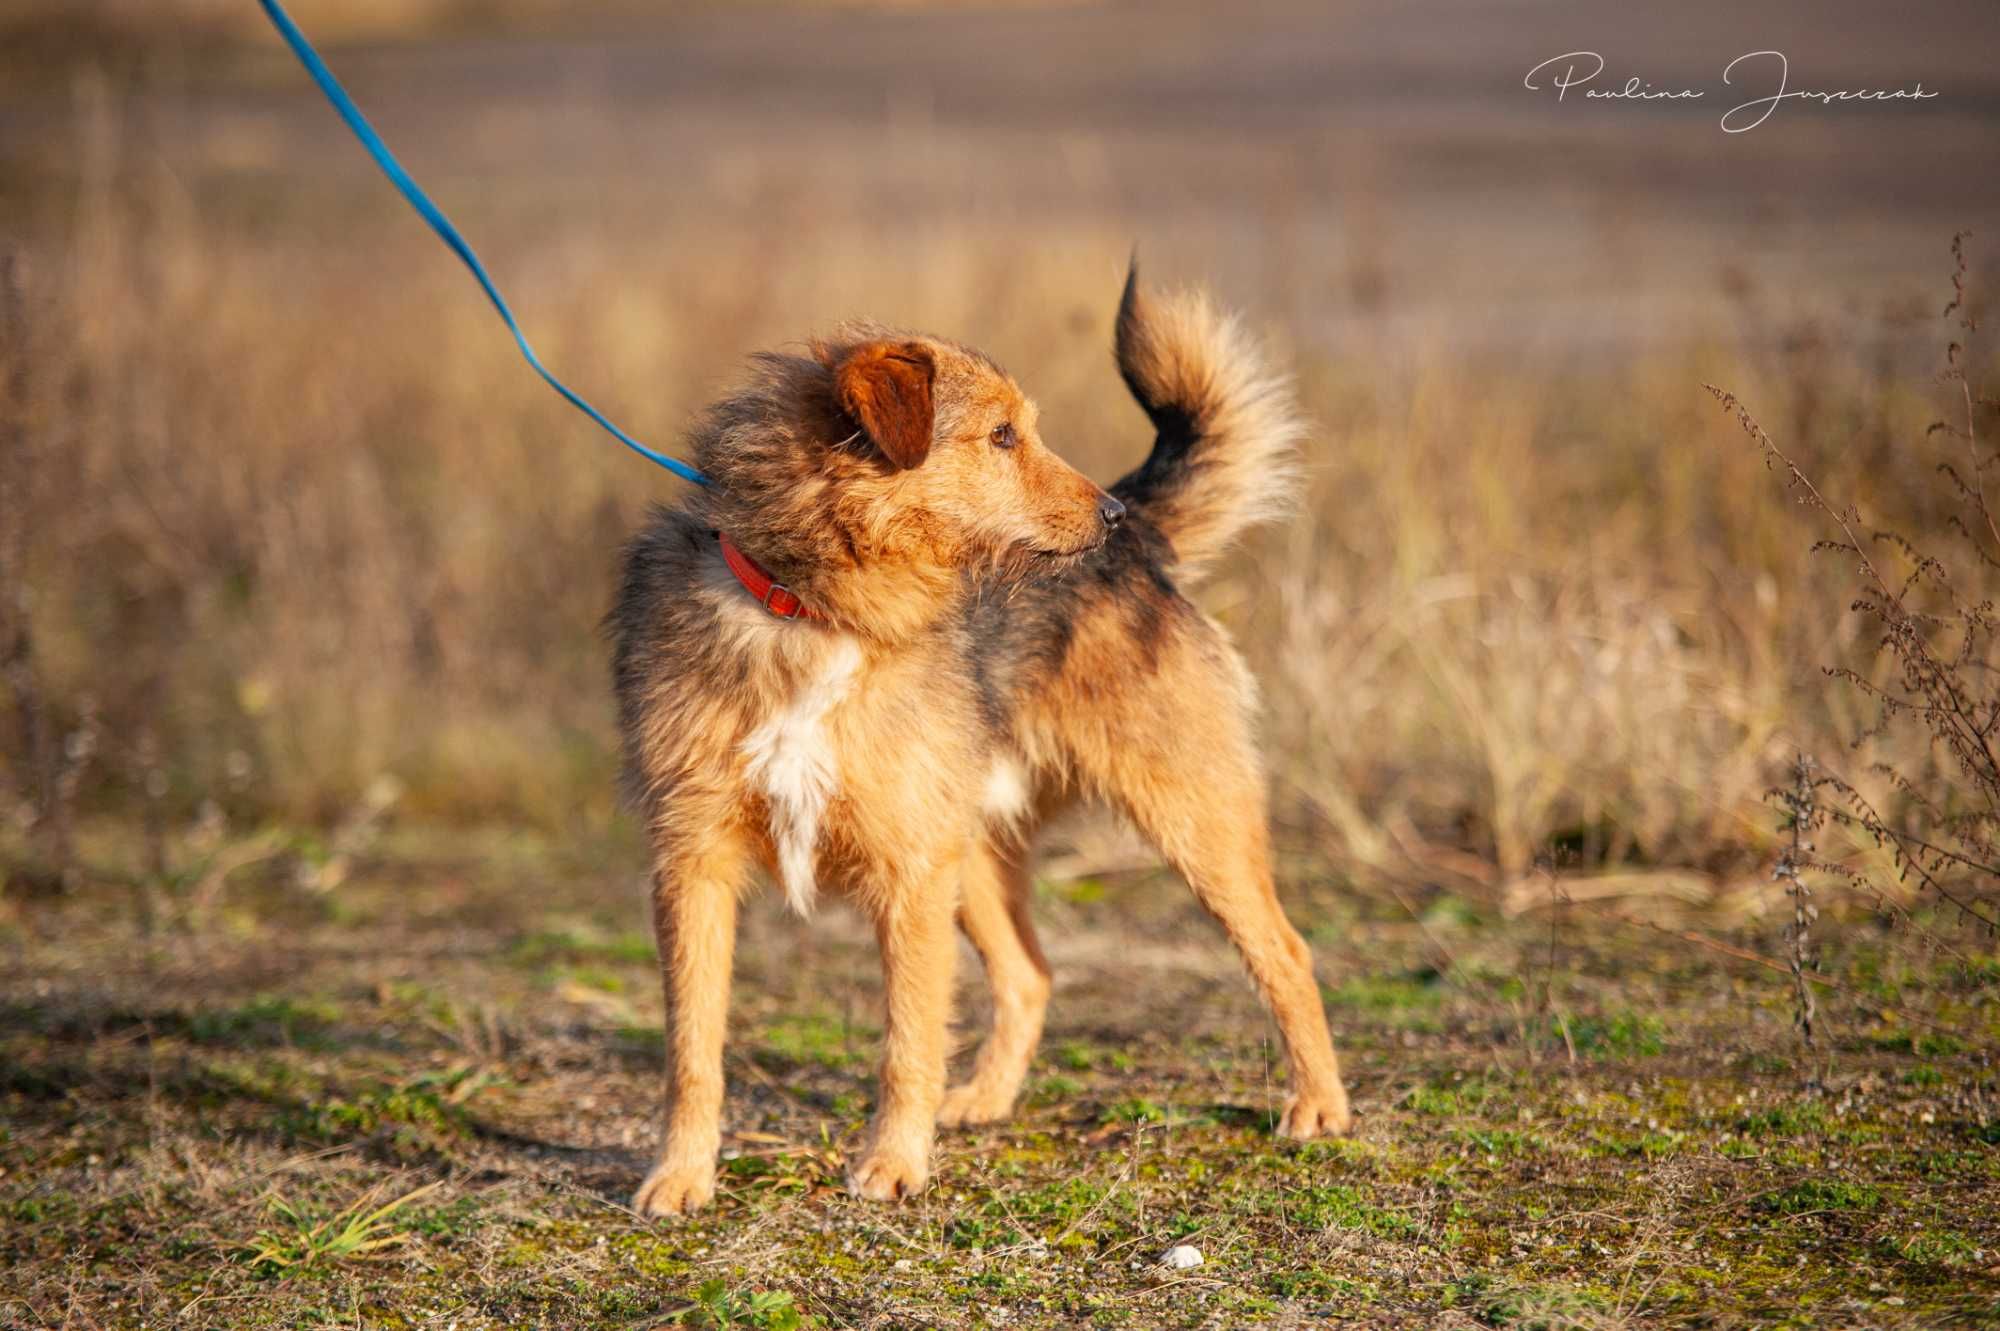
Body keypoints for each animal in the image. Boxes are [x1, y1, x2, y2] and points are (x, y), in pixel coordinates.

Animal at [608, 261, 1352, 1215]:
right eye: (1000, 436)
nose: (1111, 512)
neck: (815, 610)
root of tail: (1146, 551)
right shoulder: (693, 865)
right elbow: (693, 1047)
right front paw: (681, 1173)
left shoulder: (907, 872)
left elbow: (908, 1039)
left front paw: (893, 1162)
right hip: (972, 851)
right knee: (1030, 974)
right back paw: (989, 1097)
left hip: (1189, 817)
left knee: (1286, 952)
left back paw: (1319, 1105)